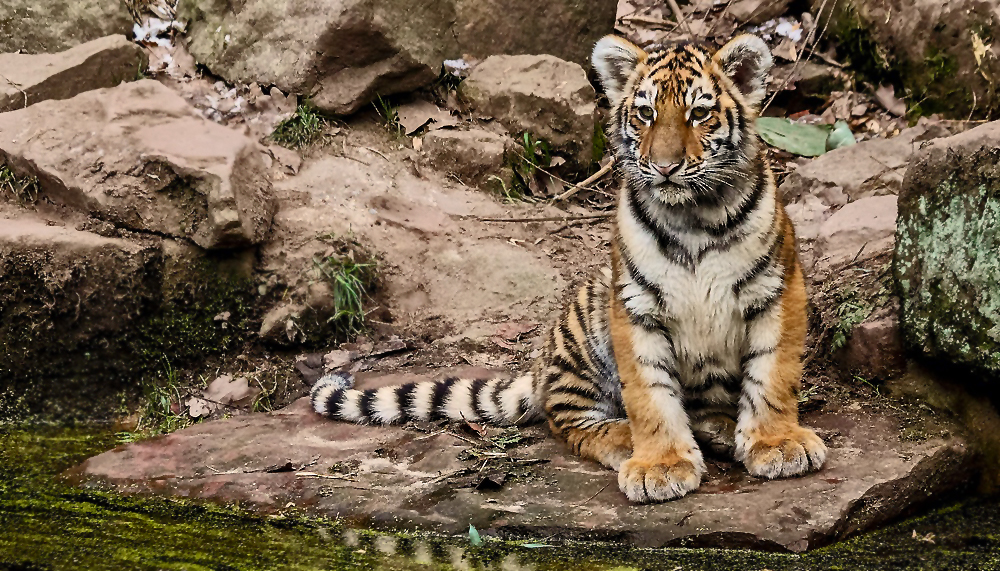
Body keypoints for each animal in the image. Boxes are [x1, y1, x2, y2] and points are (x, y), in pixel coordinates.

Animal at [308, 33, 824, 502]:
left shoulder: (778, 290)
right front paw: (659, 465)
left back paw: (717, 428)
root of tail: (537, 367)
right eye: (645, 113)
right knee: (567, 418)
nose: (664, 167)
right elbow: (650, 395)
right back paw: (625, 438)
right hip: (586, 321)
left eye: (699, 113)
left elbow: (772, 375)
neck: (694, 216)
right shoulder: (634, 305)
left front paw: (778, 444)